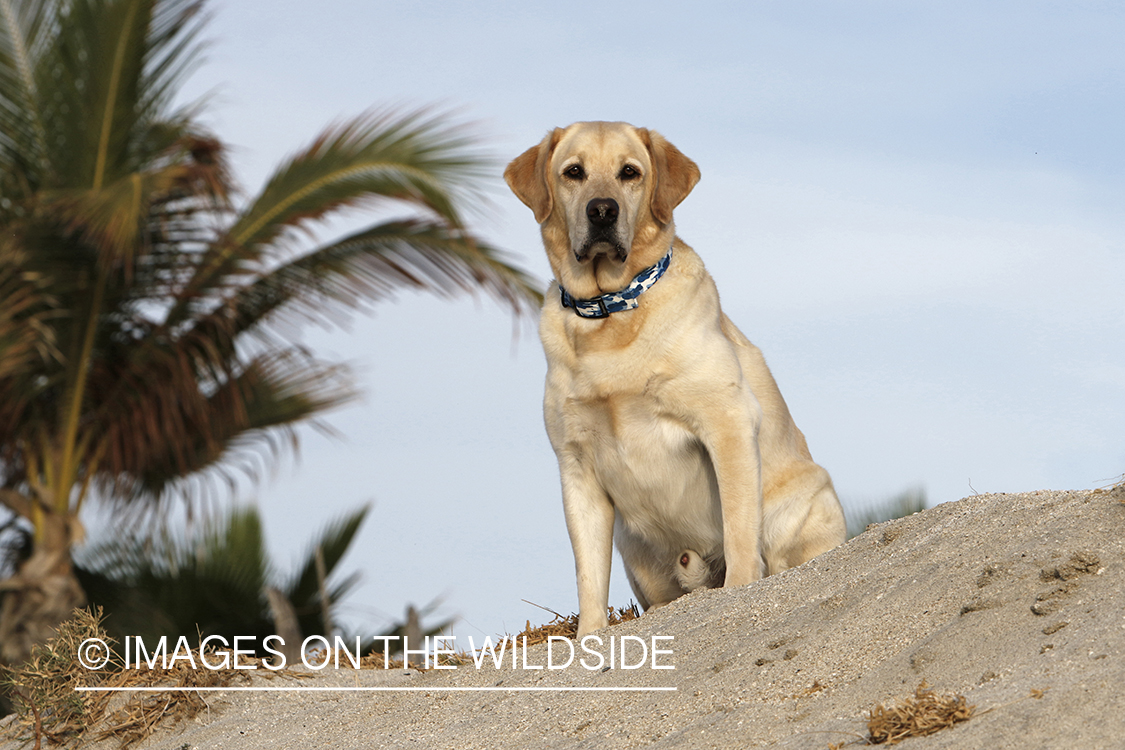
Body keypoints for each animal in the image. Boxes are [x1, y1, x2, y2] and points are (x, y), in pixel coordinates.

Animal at [504, 120, 846, 638]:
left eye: (629, 172)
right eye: (573, 172)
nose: (601, 211)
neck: (612, 314)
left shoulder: (726, 423)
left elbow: (739, 528)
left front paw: (739, 592)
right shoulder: (576, 465)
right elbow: (588, 574)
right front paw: (589, 636)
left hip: (802, 502)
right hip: (635, 550)